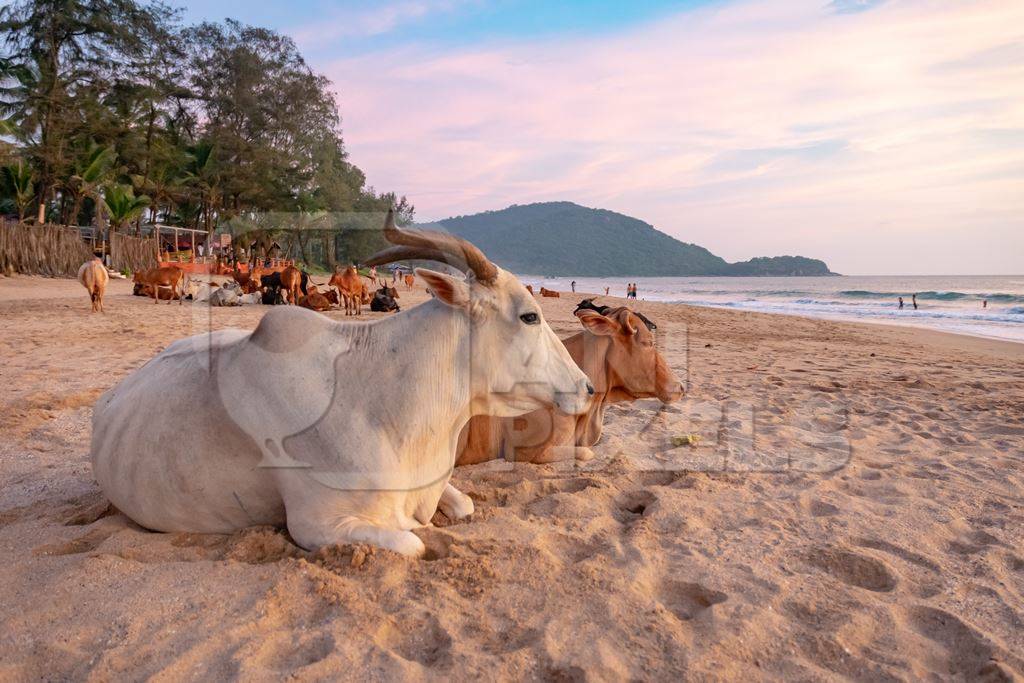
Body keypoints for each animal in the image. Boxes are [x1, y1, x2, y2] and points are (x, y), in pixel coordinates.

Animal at [96, 211, 598, 557]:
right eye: (529, 316)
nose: (587, 389)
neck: (385, 406)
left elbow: (464, 507)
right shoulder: (317, 524)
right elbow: (414, 540)